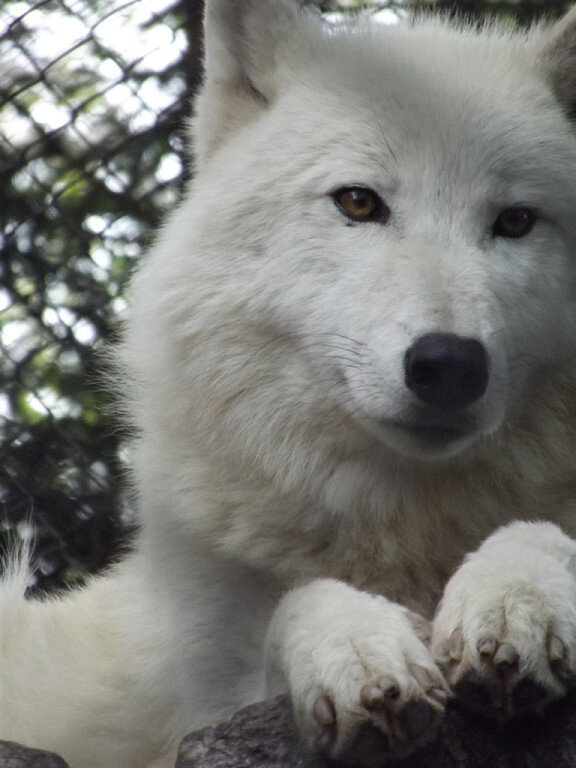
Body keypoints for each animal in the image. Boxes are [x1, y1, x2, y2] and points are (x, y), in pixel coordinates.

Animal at [3, 0, 576, 764]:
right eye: (359, 202)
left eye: (516, 220)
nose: (451, 364)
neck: (405, 527)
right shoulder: (204, 700)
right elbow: (295, 603)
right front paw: (356, 648)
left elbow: (540, 531)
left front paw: (515, 597)